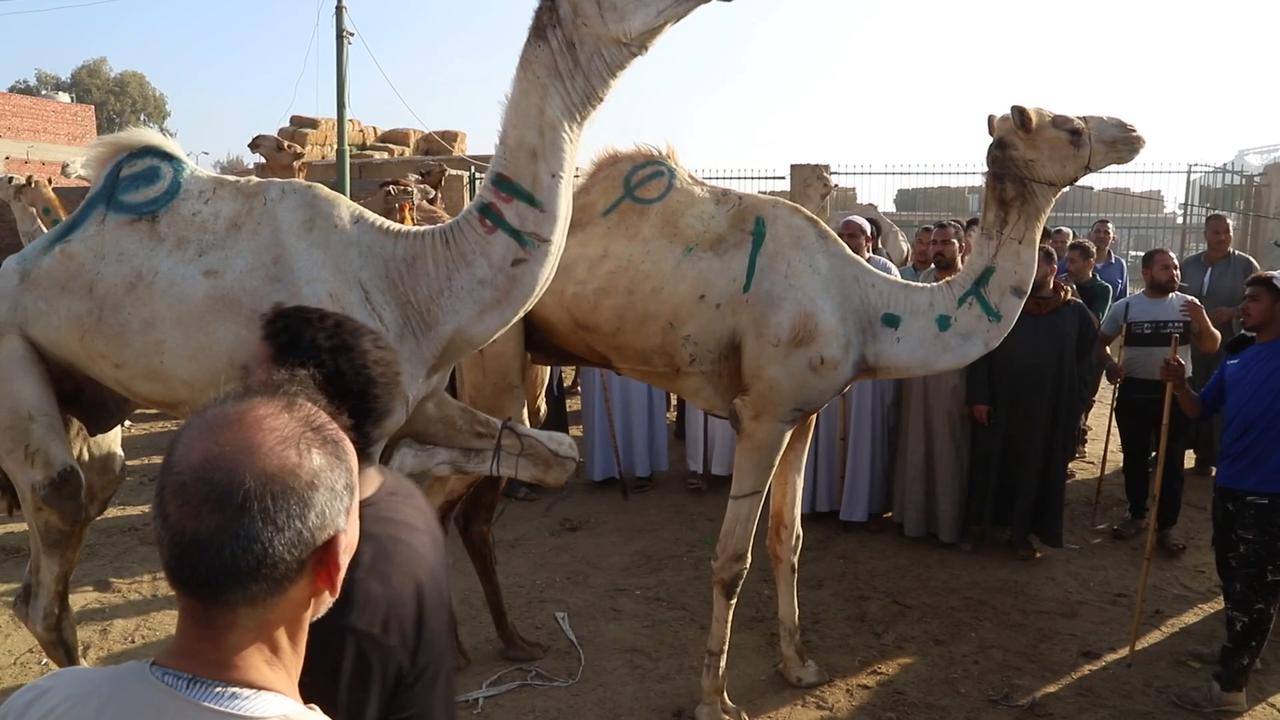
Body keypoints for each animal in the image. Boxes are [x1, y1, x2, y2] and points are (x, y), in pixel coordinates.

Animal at [0, 0, 726, 668]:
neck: (413, 275)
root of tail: (20, 265)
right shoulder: (353, 417)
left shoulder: (418, 397)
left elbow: (552, 453)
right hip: (13, 348)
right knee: (56, 510)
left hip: (89, 398)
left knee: (88, 499)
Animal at [424, 106, 1145, 720]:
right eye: (1070, 125)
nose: (1133, 131)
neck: (864, 305)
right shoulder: (762, 416)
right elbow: (731, 558)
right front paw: (715, 700)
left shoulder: (803, 415)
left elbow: (788, 540)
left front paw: (798, 665)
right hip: (490, 362)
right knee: (429, 492)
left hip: (521, 368)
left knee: (467, 508)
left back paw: (504, 643)